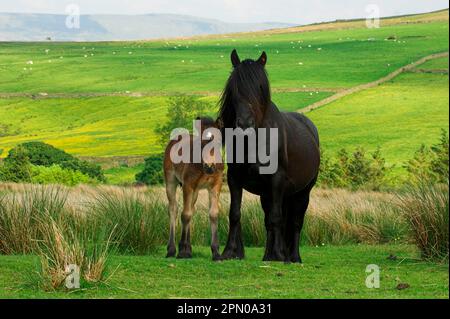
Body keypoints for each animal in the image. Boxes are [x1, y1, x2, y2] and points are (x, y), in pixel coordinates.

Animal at [163, 117, 223, 260]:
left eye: (219, 142)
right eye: (201, 143)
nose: (209, 166)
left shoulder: (215, 185)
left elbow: (213, 214)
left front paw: (216, 252)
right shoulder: (187, 185)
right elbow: (185, 215)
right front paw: (182, 252)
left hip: (195, 191)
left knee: (192, 208)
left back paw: (189, 248)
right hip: (171, 181)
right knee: (173, 209)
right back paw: (172, 250)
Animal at [218, 49, 320, 262]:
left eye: (260, 87)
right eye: (235, 87)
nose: (245, 124)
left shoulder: (276, 180)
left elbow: (277, 218)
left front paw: (280, 255)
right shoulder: (234, 179)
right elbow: (235, 213)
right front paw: (230, 252)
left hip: (302, 192)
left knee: (295, 222)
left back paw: (293, 257)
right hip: (269, 194)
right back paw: (269, 255)